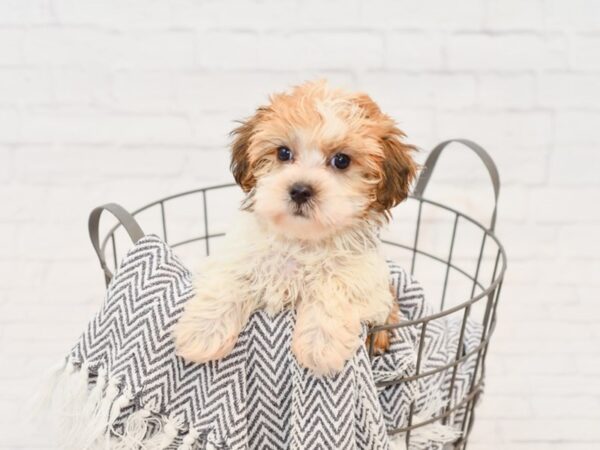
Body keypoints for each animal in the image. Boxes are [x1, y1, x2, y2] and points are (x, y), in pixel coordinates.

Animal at [173, 81, 418, 376]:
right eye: (283, 153)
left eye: (342, 160)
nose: (300, 190)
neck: (301, 241)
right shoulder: (238, 254)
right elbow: (230, 280)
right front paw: (202, 333)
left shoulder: (363, 276)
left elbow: (335, 285)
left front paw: (320, 346)